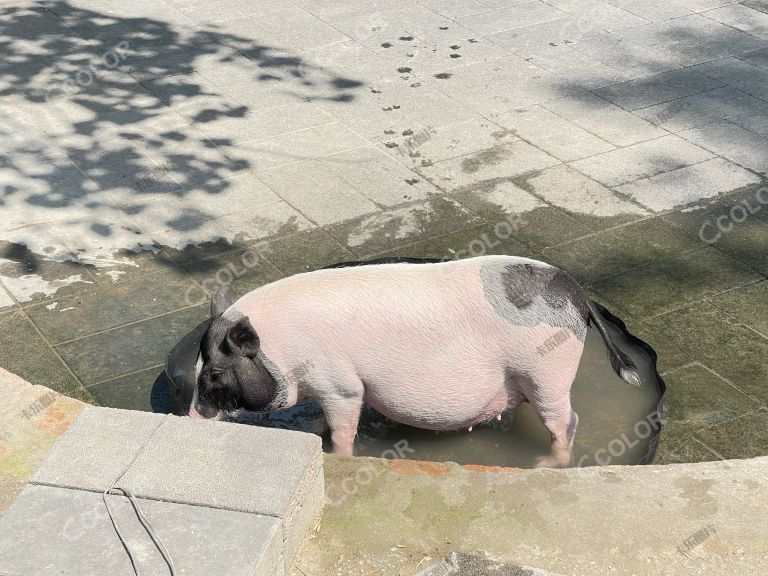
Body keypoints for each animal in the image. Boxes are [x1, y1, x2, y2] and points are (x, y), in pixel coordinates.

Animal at [189, 256, 640, 468]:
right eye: (197, 367)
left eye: (215, 372)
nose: (191, 417)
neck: (284, 351)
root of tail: (577, 292)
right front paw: (316, 433)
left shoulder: (341, 385)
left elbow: (344, 428)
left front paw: (336, 455)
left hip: (547, 370)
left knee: (567, 421)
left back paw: (544, 464)